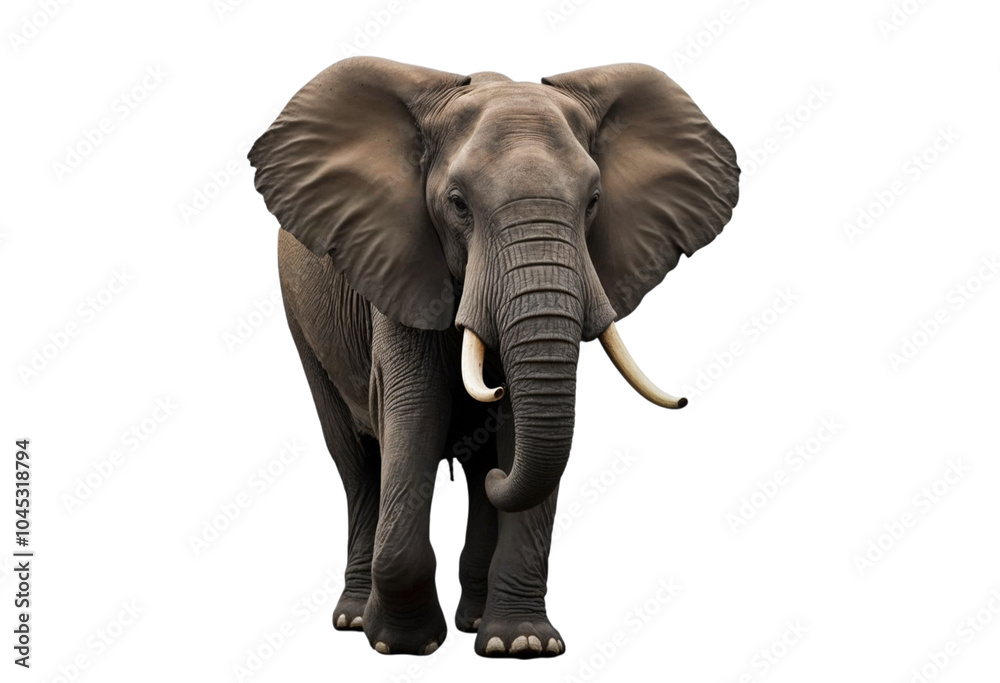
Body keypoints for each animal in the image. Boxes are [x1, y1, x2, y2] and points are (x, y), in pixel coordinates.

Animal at [248, 56, 739, 658]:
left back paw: (476, 618)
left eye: (594, 202)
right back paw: (354, 620)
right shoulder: (399, 262)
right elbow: (416, 411)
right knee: (356, 461)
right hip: (303, 323)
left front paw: (522, 645)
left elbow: (512, 428)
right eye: (458, 204)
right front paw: (402, 645)